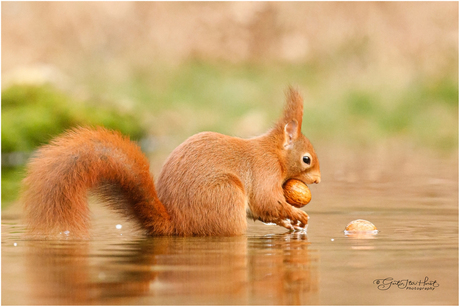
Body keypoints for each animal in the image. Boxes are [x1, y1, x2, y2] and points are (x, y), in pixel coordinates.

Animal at [22, 88, 320, 239]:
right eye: (306, 159)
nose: (317, 180)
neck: (274, 153)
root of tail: (176, 224)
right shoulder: (264, 171)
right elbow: (266, 202)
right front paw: (298, 216)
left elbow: (265, 211)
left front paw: (290, 224)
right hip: (225, 195)